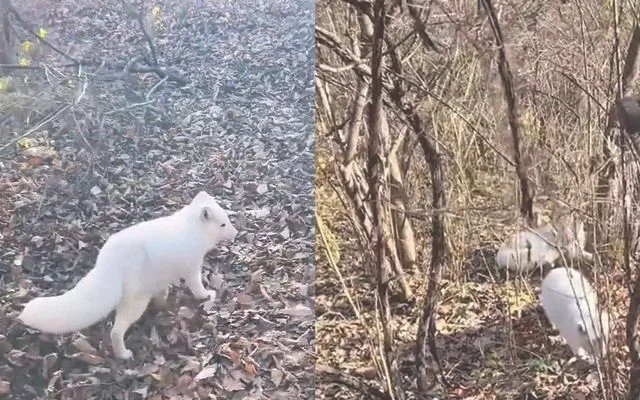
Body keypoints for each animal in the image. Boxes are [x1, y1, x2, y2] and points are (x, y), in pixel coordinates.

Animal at [17, 190, 239, 360]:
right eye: (223, 225)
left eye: (228, 220)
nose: (236, 233)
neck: (192, 228)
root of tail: (107, 261)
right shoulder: (193, 268)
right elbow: (197, 286)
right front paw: (206, 295)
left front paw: (165, 299)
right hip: (136, 302)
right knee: (116, 331)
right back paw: (123, 355)